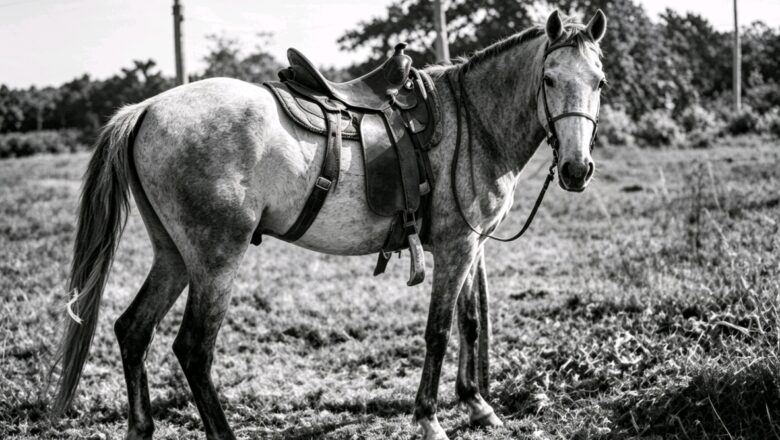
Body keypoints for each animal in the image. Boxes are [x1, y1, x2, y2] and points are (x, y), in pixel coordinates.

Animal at [50, 9, 607, 440]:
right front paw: (428, 419)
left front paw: (476, 404)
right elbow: (439, 330)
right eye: (550, 80)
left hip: (174, 256)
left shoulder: (471, 244)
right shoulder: (456, 246)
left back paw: (140, 426)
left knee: (132, 330)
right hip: (214, 259)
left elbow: (470, 320)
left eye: (599, 82)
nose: (576, 169)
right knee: (192, 348)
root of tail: (147, 108)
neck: (472, 121)